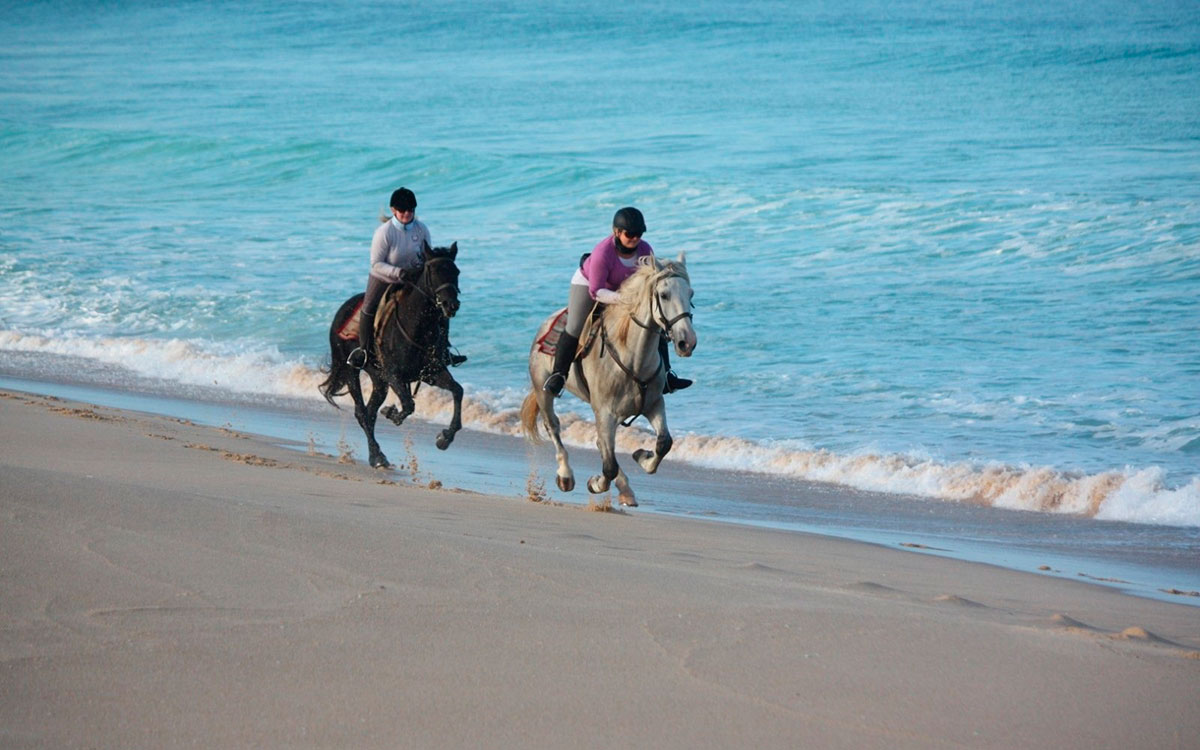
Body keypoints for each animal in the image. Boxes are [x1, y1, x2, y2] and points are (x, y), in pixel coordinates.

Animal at [319, 242, 463, 465]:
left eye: (456, 272)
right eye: (433, 271)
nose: (451, 305)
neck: (417, 328)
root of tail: (341, 311)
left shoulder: (431, 373)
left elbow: (457, 390)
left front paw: (445, 438)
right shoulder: (393, 374)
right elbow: (409, 404)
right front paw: (391, 413)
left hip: (379, 380)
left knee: (369, 413)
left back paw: (376, 455)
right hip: (352, 371)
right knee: (361, 412)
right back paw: (377, 456)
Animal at [520, 254, 700, 506]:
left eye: (690, 294)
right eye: (664, 295)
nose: (687, 342)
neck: (633, 357)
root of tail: (547, 322)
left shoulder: (654, 404)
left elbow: (664, 443)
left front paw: (641, 456)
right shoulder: (605, 413)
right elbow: (609, 467)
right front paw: (595, 483)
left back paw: (626, 490)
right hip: (543, 389)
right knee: (553, 425)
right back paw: (566, 476)